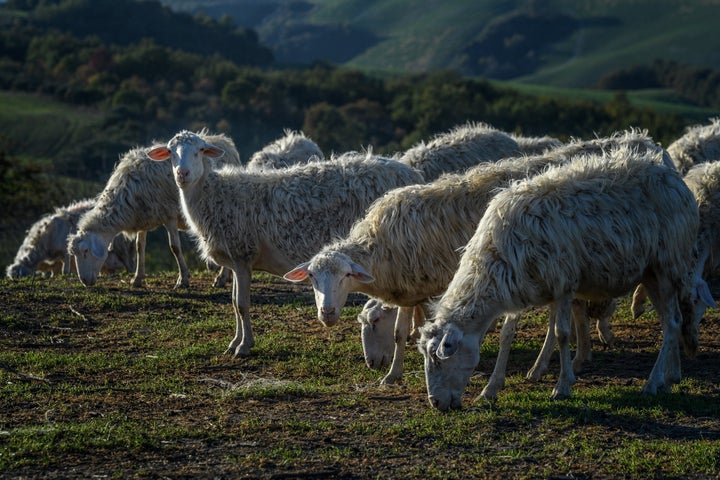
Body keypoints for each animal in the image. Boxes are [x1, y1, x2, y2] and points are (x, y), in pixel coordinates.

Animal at [6, 199, 135, 280]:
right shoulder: (55, 261)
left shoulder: (65, 252)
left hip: (123, 249)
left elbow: (65, 270)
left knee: (130, 266)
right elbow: (54, 272)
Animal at [66, 131, 239, 288]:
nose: (84, 282)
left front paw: (183, 279)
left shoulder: (169, 215)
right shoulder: (142, 216)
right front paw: (137, 278)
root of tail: (222, 139)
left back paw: (221, 278)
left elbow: (175, 247)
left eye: (85, 251)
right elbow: (139, 247)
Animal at [148, 130, 428, 356]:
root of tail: (410, 174)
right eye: (171, 153)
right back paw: (416, 331)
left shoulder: (243, 255)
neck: (214, 195)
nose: (182, 174)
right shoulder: (236, 262)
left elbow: (242, 304)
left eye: (199, 151)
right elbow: (234, 303)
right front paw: (234, 342)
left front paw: (244, 346)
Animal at [286, 129, 668, 388]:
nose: (327, 314)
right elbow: (405, 330)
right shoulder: (411, 286)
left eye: (344, 277)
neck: (380, 248)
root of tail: (645, 142)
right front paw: (394, 372)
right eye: (313, 280)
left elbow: (411, 328)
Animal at [416, 148, 716, 410]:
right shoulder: (525, 284)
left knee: (673, 322)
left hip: (668, 263)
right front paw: (491, 389)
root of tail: (672, 176)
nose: (436, 404)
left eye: (438, 360)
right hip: (650, 273)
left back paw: (653, 383)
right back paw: (669, 377)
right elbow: (506, 335)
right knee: (670, 321)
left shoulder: (563, 284)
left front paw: (562, 386)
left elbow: (562, 334)